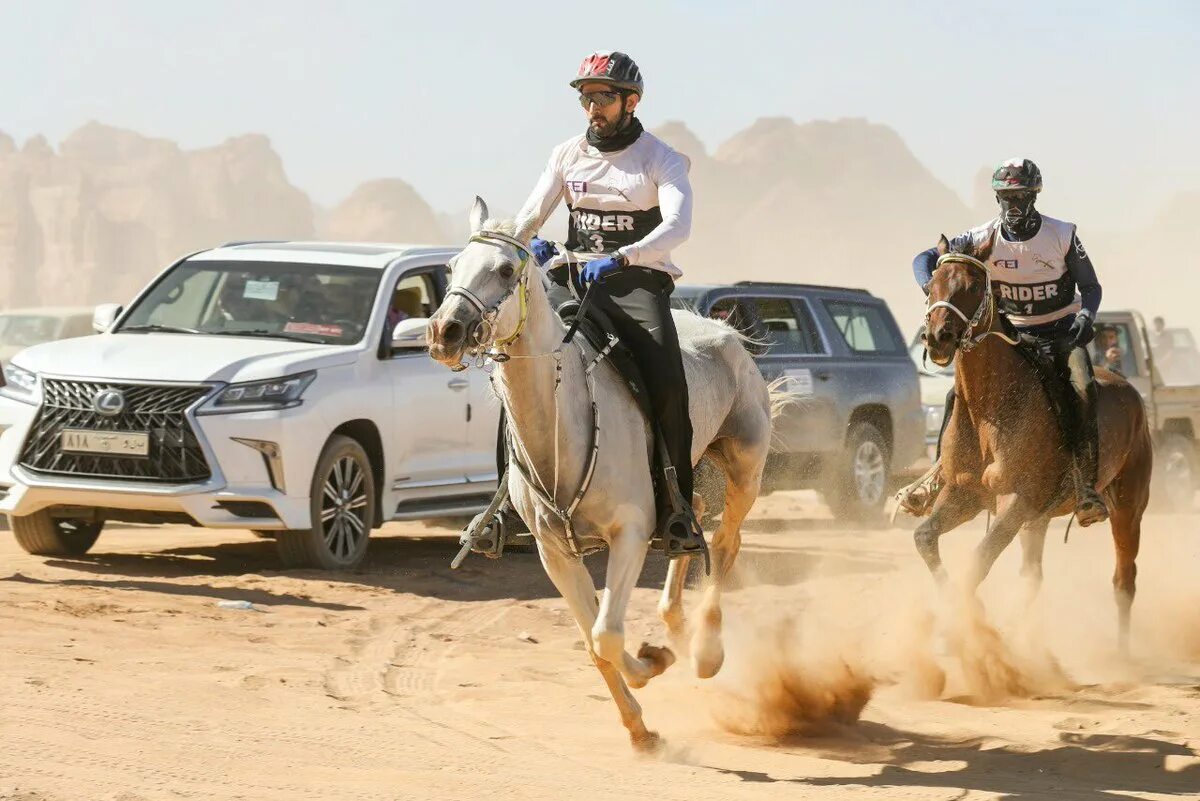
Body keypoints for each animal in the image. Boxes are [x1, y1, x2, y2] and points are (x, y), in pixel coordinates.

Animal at [427, 196, 772, 748]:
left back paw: (704, 651)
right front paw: (640, 724)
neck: (564, 425)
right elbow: (593, 642)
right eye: (453, 266)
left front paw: (654, 664)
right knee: (692, 512)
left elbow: (607, 634)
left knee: (724, 544)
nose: (444, 332)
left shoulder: (629, 533)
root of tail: (727, 335)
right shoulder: (555, 552)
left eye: (505, 270)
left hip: (745, 466)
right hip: (687, 475)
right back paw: (674, 624)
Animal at [916, 232, 1152, 652]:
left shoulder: (1016, 500)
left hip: (1127, 506)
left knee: (1124, 580)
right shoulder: (964, 495)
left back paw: (1122, 655)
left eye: (973, 286)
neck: (990, 410)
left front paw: (964, 625)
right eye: (931, 286)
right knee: (1033, 577)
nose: (938, 337)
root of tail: (1132, 392)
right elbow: (925, 537)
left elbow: (978, 560)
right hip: (1039, 520)